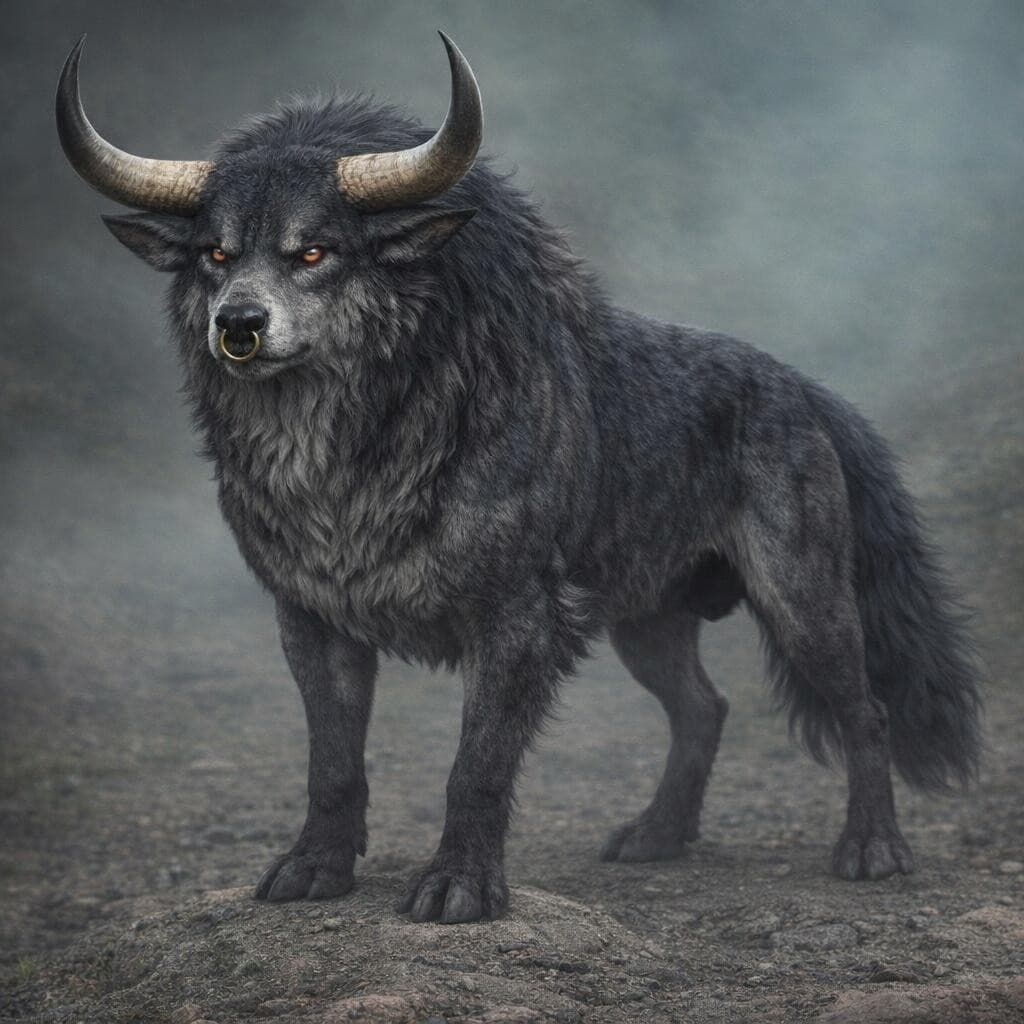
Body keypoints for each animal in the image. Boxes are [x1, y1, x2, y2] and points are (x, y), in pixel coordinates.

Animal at [56, 33, 980, 924]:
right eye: (216, 254)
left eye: (313, 251)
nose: (238, 324)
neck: (354, 459)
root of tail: (805, 388)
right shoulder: (312, 622)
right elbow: (332, 762)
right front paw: (313, 870)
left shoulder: (515, 621)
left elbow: (477, 766)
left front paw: (457, 890)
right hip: (647, 623)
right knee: (703, 709)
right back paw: (655, 837)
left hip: (803, 606)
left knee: (865, 711)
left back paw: (872, 851)